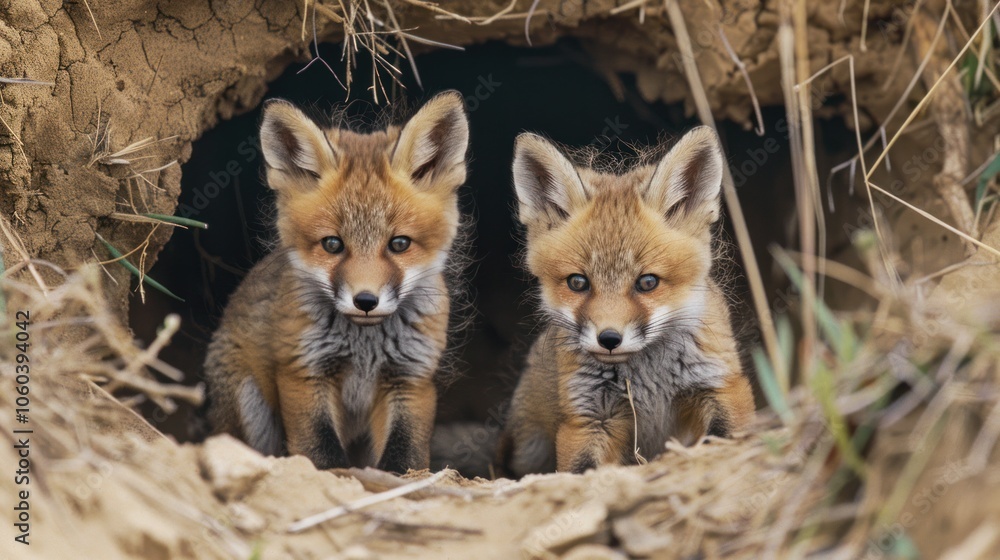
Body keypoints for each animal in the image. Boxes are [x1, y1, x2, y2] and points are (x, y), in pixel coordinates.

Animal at [203, 91, 470, 472]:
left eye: (399, 244)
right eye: (332, 244)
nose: (366, 301)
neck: (364, 346)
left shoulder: (411, 378)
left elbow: (405, 456)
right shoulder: (304, 371)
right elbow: (320, 453)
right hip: (248, 397)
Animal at [497, 127, 755, 476]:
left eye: (647, 282)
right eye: (578, 282)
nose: (609, 339)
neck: (648, 379)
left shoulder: (721, 386)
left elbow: (725, 437)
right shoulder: (588, 419)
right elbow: (582, 470)